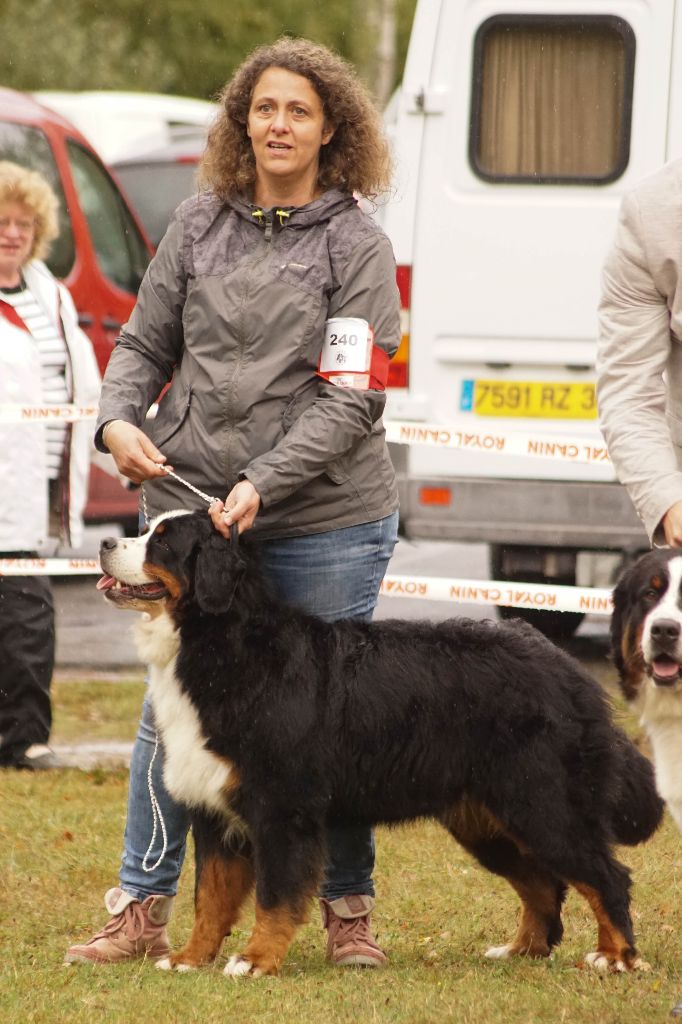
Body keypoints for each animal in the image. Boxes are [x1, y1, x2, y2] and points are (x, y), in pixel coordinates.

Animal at [95, 509, 659, 974]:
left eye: (162, 542)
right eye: (146, 529)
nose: (104, 541)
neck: (221, 644)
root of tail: (567, 669)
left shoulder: (281, 809)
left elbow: (274, 897)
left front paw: (255, 960)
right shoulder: (216, 811)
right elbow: (209, 897)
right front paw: (190, 959)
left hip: (541, 803)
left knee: (606, 876)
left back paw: (616, 957)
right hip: (486, 820)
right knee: (544, 883)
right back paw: (522, 949)